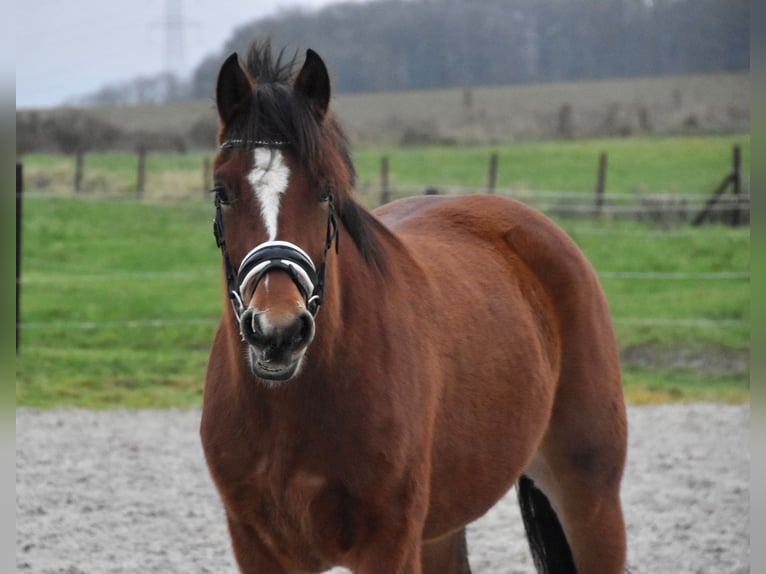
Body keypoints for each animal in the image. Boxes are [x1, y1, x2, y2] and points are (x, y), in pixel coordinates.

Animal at [204, 41, 632, 574]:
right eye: (222, 191)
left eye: (326, 190)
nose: (277, 332)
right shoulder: (258, 548)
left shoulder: (389, 544)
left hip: (591, 497)